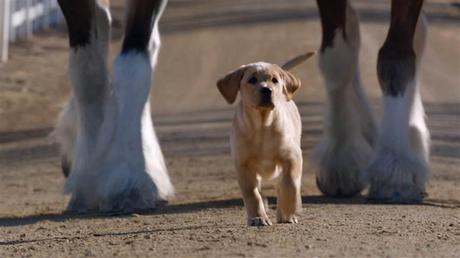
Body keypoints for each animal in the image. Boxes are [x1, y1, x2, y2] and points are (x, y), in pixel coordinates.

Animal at [218, 60, 308, 226]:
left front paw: (290, 209)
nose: (267, 90)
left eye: (275, 80)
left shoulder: (292, 157)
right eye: (252, 80)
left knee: (283, 185)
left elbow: (290, 184)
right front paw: (258, 217)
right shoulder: (243, 165)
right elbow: (252, 194)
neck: (262, 127)